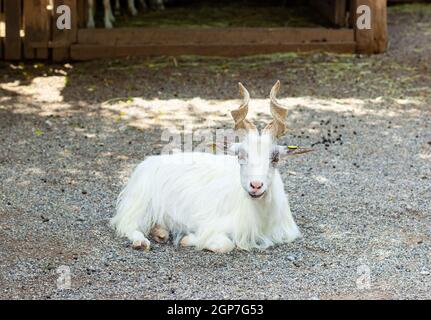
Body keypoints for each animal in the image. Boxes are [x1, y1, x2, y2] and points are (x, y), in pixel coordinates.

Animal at [111, 82, 308, 252]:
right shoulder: (210, 224)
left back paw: (161, 233)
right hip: (140, 205)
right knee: (127, 225)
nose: (256, 185)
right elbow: (225, 244)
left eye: (275, 158)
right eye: (240, 155)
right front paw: (187, 239)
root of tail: (148, 162)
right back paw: (141, 242)